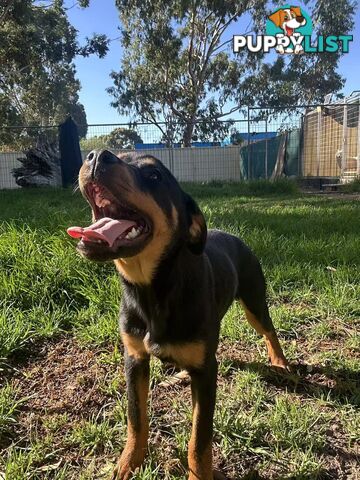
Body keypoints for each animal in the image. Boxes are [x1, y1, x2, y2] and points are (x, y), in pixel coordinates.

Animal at [66, 148, 288, 478]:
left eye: (154, 174)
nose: (95, 156)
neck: (153, 290)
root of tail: (235, 237)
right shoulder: (135, 359)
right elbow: (136, 419)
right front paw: (128, 463)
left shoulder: (206, 375)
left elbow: (199, 439)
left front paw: (199, 474)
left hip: (254, 302)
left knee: (269, 330)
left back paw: (280, 361)